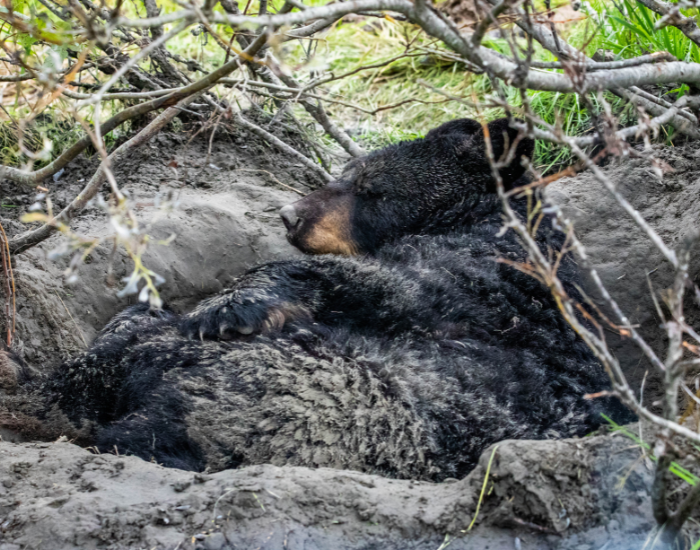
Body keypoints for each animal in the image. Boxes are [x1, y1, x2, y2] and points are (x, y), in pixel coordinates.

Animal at [12, 117, 633, 481]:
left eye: (370, 188)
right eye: (344, 169)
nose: (290, 215)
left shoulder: (482, 276)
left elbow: (387, 284)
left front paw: (226, 307)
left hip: (289, 397)